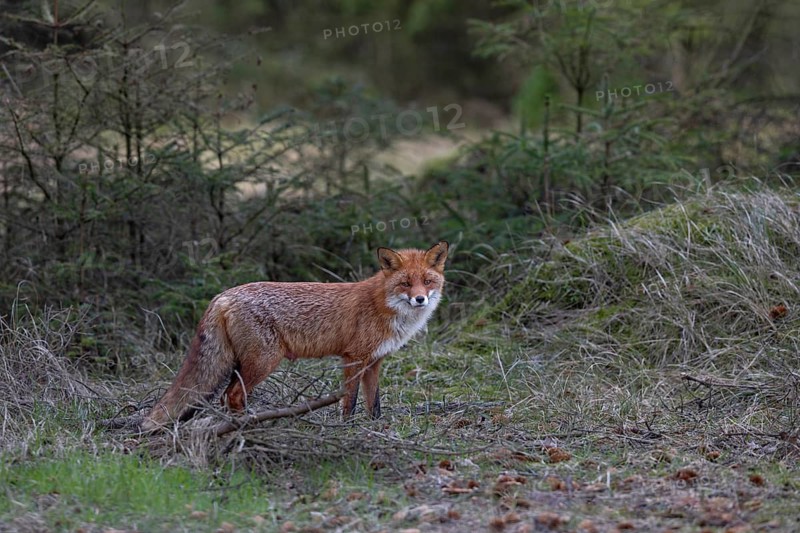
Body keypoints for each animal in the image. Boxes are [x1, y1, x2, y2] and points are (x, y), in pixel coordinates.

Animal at [141, 241, 449, 430]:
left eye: (427, 281)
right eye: (405, 283)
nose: (420, 299)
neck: (383, 306)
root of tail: (222, 295)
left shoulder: (375, 361)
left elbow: (374, 403)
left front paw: (376, 429)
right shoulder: (353, 358)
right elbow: (349, 401)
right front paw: (347, 429)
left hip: (243, 363)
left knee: (225, 396)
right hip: (263, 361)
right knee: (233, 395)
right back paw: (244, 428)